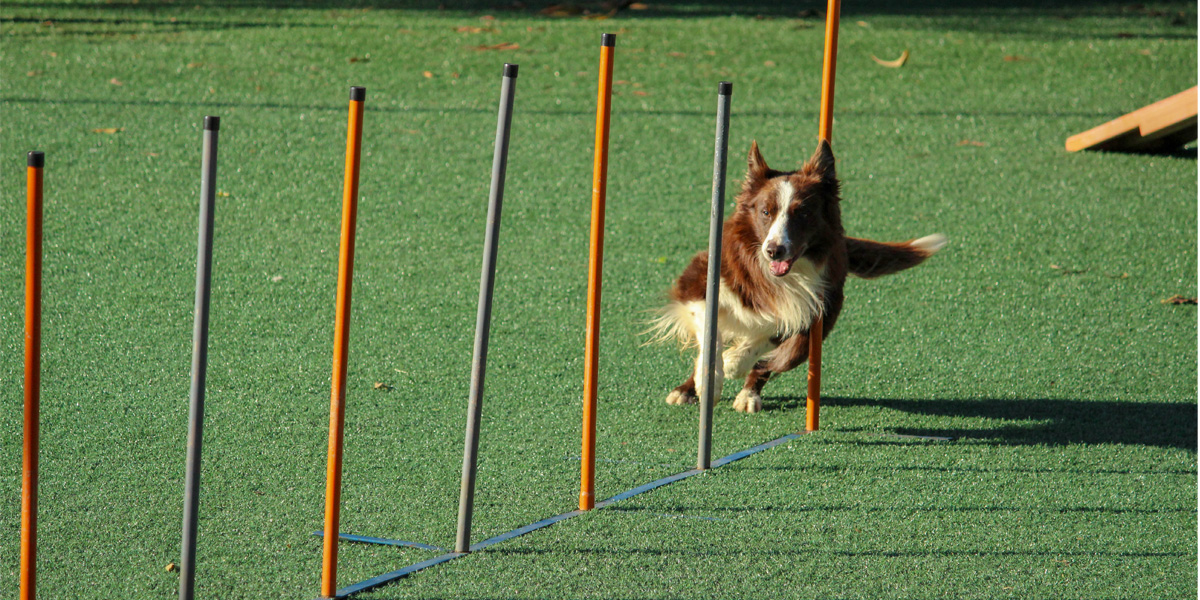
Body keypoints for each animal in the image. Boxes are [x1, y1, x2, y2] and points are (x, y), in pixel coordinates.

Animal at [652, 139, 940, 412]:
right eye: (765, 212)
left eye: (803, 213)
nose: (774, 250)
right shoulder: (698, 278)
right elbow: (710, 335)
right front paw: (710, 380)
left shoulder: (808, 306)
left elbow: (766, 340)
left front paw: (735, 362)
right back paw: (686, 390)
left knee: (775, 360)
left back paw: (748, 394)